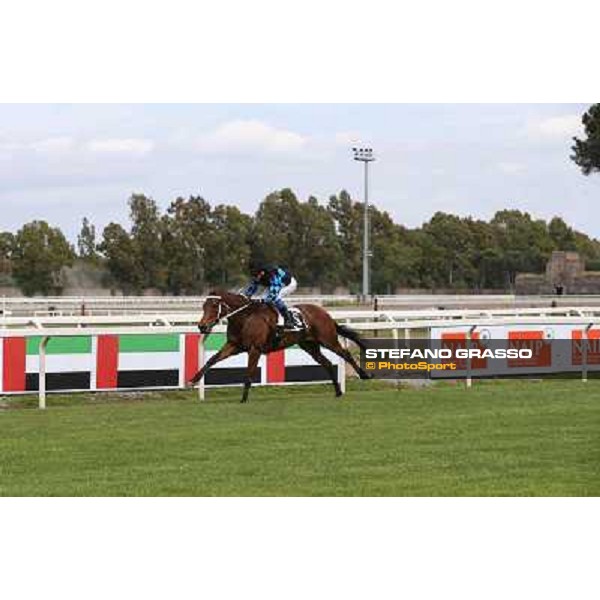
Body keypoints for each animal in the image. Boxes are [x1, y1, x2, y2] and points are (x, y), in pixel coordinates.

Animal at [190, 290, 372, 404]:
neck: (245, 318)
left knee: (345, 353)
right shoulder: (234, 346)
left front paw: (243, 398)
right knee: (326, 363)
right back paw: (338, 391)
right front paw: (193, 380)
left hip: (327, 339)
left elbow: (249, 373)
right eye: (203, 307)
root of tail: (324, 313)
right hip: (309, 345)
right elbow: (212, 360)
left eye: (214, 306)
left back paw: (364, 375)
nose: (202, 326)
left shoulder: (255, 349)